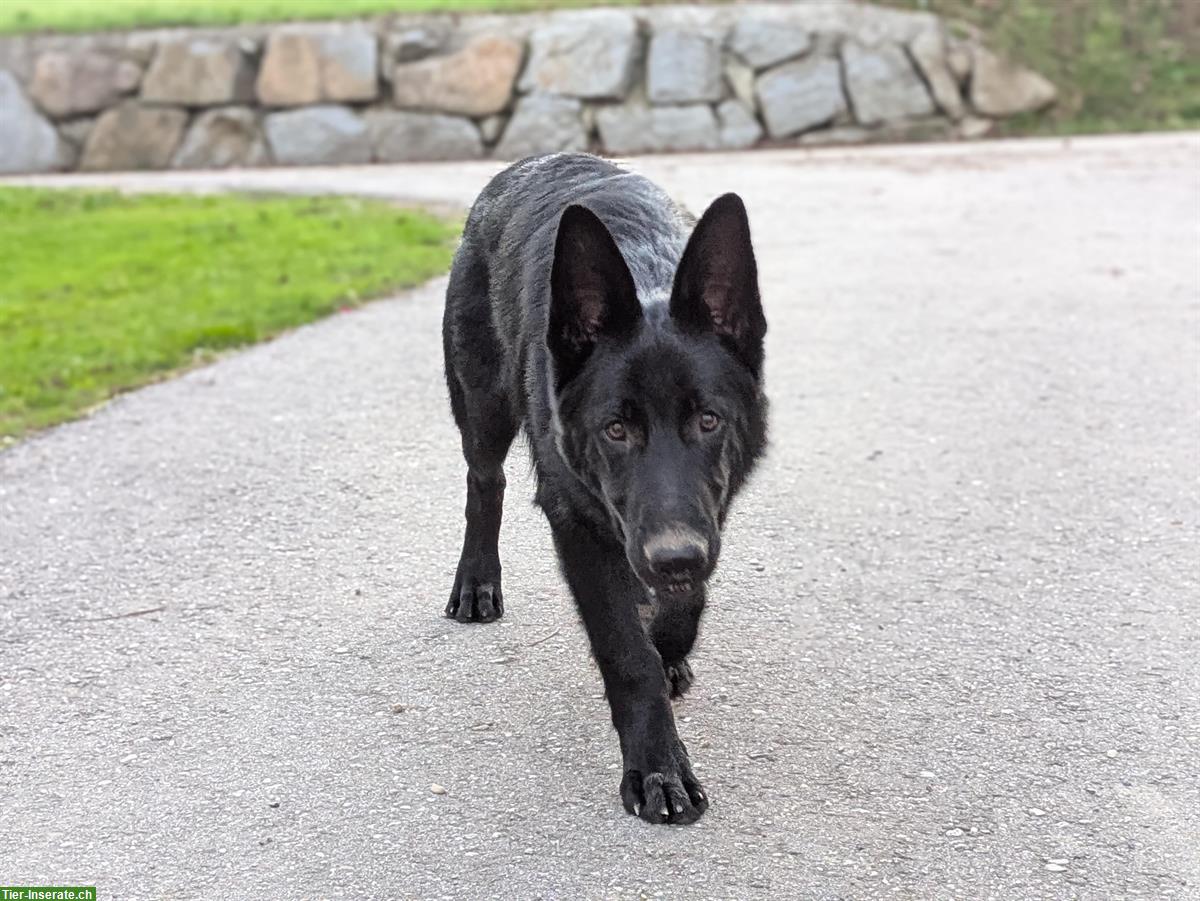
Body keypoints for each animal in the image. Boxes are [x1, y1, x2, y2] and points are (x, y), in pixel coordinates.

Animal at [441, 153, 768, 825]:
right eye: (616, 429)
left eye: (708, 420)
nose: (674, 557)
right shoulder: (576, 523)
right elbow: (627, 653)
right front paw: (658, 768)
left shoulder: (700, 524)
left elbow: (683, 608)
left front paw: (669, 642)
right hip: (483, 408)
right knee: (484, 481)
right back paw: (477, 580)